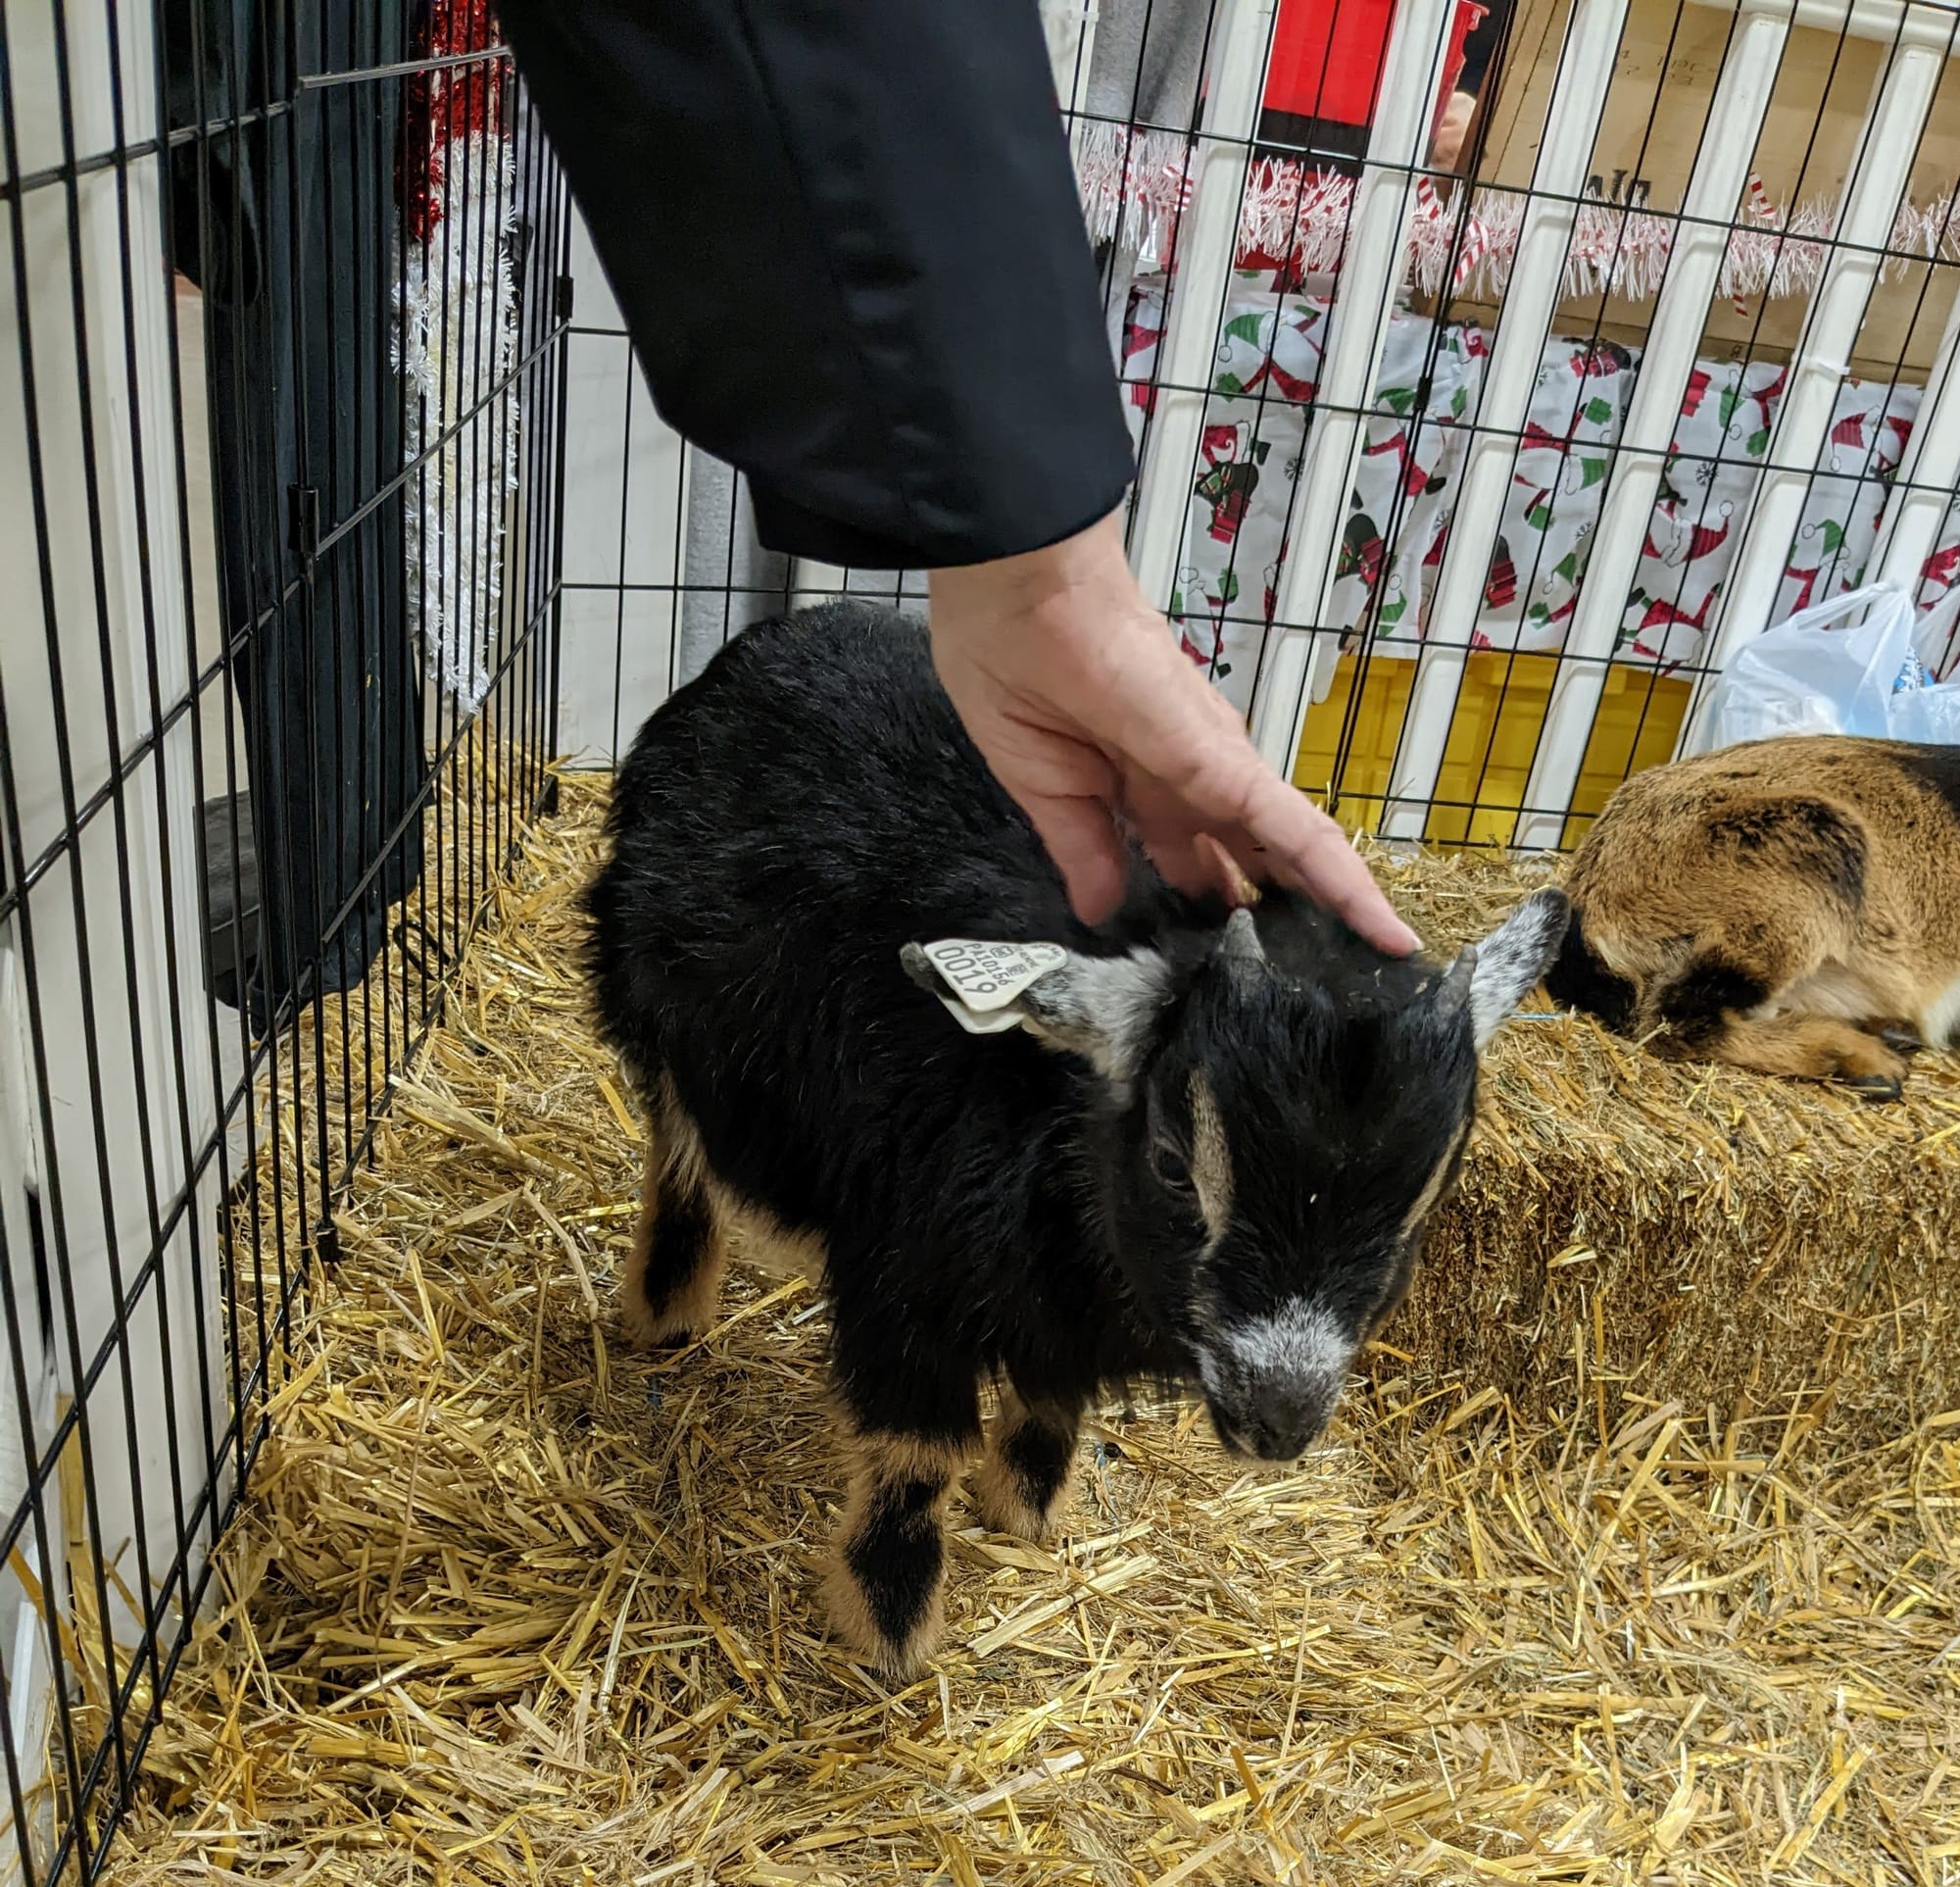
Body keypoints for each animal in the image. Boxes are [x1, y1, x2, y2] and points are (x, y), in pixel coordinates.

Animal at [586, 602, 1567, 1676]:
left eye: (1424, 1200)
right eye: (1174, 1163)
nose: (1278, 1417)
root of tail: (791, 625)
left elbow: (1053, 1399)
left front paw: (1024, 1509)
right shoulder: (904, 1272)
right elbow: (917, 1455)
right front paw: (889, 1628)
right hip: (652, 1002)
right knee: (678, 1144)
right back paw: (668, 1302)